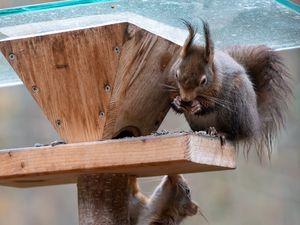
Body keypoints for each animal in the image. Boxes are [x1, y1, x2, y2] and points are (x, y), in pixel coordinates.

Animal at [163, 20, 292, 158]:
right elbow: (172, 98)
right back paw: (207, 130)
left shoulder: (219, 88)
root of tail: (254, 124)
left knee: (235, 135)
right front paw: (177, 101)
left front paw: (198, 105)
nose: (186, 98)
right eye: (176, 74)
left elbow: (211, 104)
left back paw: (220, 133)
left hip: (236, 108)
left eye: (204, 81)